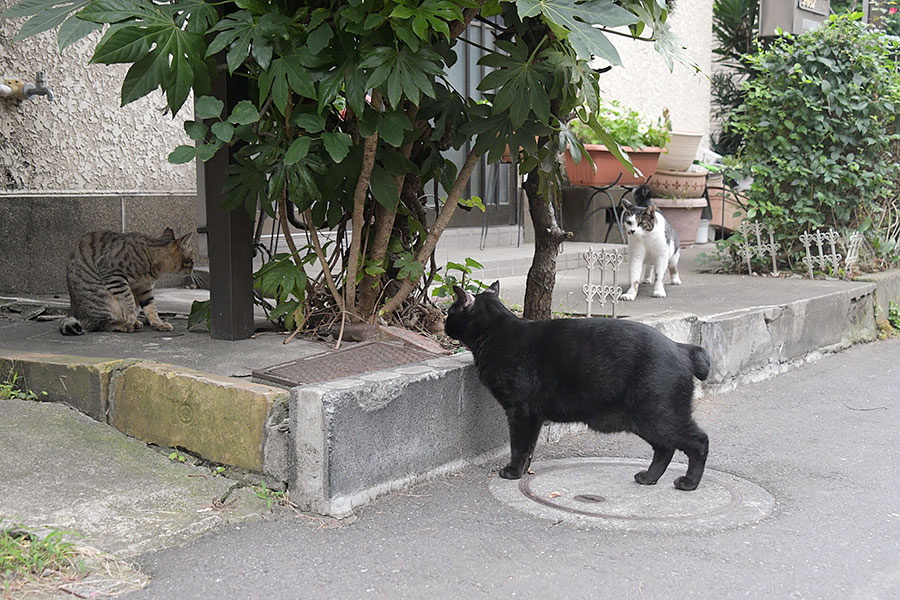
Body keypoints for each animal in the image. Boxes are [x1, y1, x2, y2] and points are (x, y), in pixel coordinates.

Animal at [59, 229, 195, 336]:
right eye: (192, 260)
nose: (193, 269)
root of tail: (71, 312)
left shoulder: (143, 288)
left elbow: (151, 307)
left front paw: (158, 323)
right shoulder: (113, 276)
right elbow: (128, 300)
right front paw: (131, 317)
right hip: (103, 299)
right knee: (98, 324)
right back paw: (123, 324)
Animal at [442, 284, 712, 490]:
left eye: (449, 312)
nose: (443, 322)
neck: (495, 331)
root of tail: (681, 347)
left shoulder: (520, 412)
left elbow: (518, 445)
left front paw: (512, 472)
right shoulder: (534, 416)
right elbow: (529, 447)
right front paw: (524, 470)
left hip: (659, 415)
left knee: (698, 442)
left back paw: (689, 483)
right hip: (646, 421)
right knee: (664, 449)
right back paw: (648, 478)